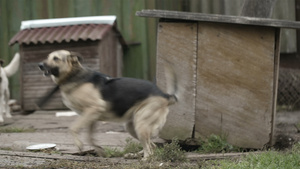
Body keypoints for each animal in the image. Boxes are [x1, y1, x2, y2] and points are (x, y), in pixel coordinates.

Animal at [38, 49, 179, 159]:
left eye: (56, 58)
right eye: (47, 57)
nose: (39, 65)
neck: (73, 75)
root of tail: (165, 95)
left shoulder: (94, 108)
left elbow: (72, 128)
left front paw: (78, 144)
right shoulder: (91, 116)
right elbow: (90, 137)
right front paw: (99, 150)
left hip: (141, 125)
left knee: (149, 151)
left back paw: (144, 160)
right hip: (132, 126)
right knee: (152, 146)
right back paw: (134, 155)